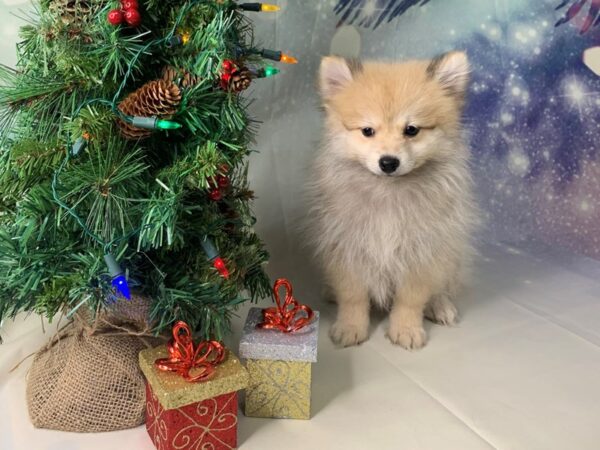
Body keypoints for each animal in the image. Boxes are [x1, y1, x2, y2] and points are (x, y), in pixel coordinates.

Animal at [310, 51, 478, 348]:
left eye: (411, 130)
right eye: (367, 131)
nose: (388, 162)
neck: (388, 191)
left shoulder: (421, 253)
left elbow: (410, 300)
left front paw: (406, 329)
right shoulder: (348, 248)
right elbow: (353, 297)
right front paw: (350, 327)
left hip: (451, 254)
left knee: (442, 286)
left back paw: (440, 306)